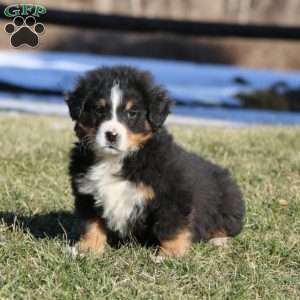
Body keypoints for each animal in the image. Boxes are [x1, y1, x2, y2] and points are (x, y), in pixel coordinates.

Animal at [65, 66, 244, 258]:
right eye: (99, 110)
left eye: (132, 113)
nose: (111, 135)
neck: (116, 159)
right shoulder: (87, 194)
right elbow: (91, 225)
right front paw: (87, 250)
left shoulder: (171, 196)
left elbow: (171, 227)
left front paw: (169, 256)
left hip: (227, 205)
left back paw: (219, 240)